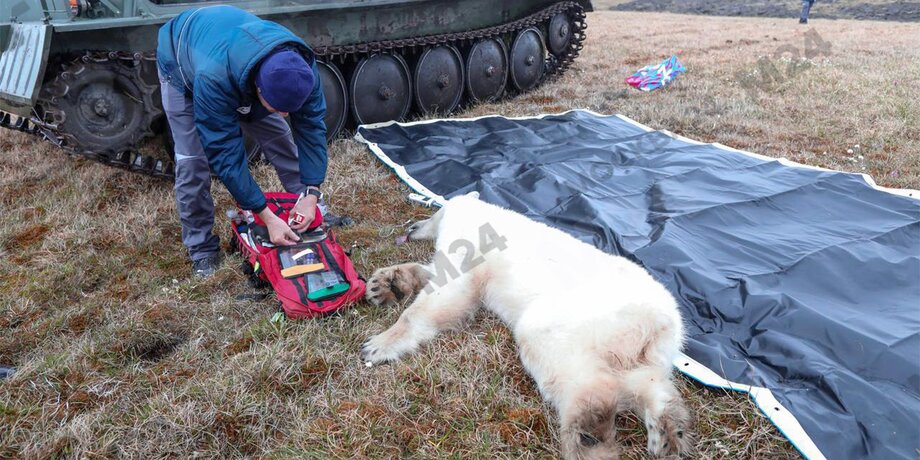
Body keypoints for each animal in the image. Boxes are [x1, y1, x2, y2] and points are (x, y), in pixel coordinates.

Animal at [361, 192, 691, 459]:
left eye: (434, 211)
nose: (411, 227)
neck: (480, 211)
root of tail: (661, 320)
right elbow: (440, 277)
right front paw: (385, 284)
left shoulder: (469, 241)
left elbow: (451, 290)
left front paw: (376, 345)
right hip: (642, 344)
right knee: (645, 379)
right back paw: (667, 433)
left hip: (586, 313)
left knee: (560, 356)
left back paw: (588, 431)